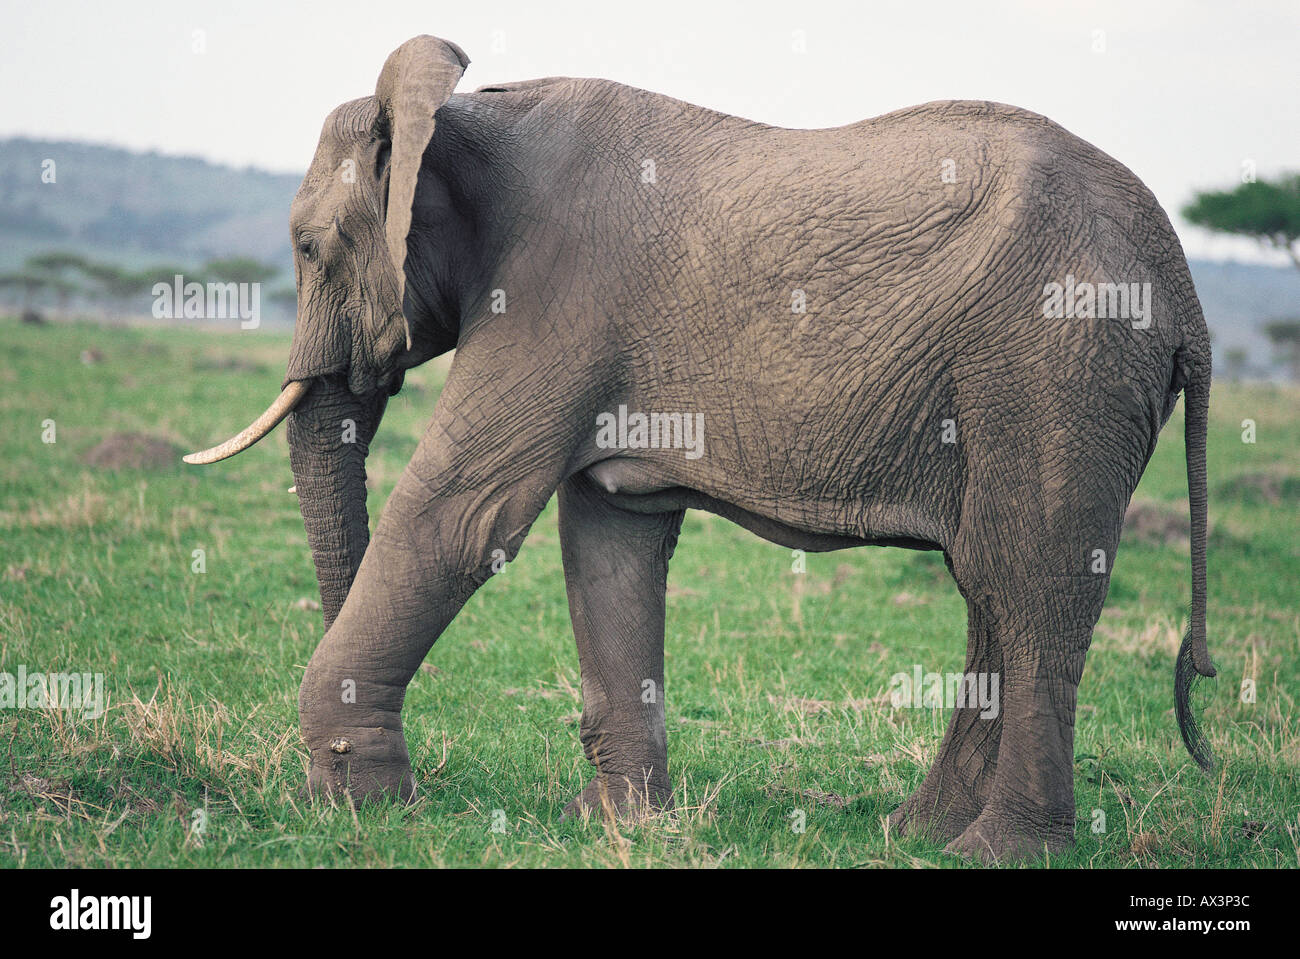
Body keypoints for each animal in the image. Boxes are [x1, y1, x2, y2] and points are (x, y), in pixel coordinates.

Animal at [185, 35, 1216, 857]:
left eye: (309, 249)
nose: (419, 787)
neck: (461, 116)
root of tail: (1183, 287)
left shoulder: (554, 299)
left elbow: (460, 514)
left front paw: (362, 807)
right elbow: (609, 534)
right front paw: (617, 823)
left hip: (1057, 360)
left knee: (1028, 577)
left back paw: (997, 851)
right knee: (990, 585)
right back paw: (915, 833)